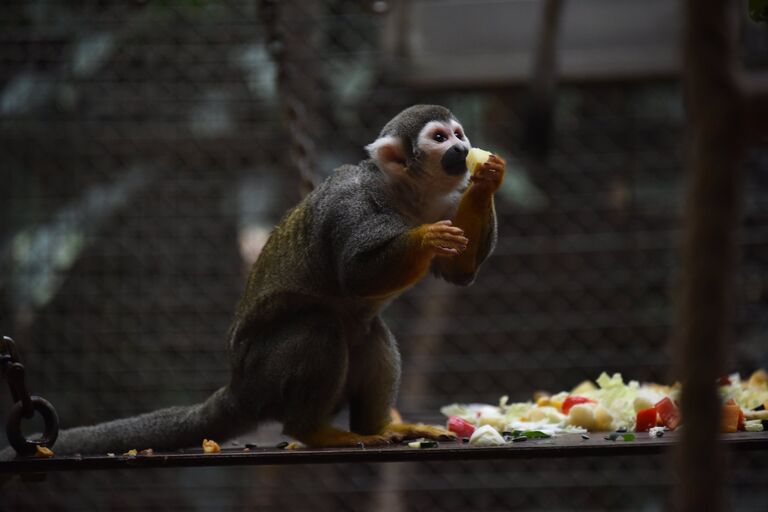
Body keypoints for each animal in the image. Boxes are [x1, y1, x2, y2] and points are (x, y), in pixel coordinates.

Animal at [3, 105, 508, 456]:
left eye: (460, 135)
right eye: (440, 138)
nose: (462, 150)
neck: (407, 194)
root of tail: (238, 386)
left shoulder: (442, 203)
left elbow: (458, 273)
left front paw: (487, 178)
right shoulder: (352, 205)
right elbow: (355, 273)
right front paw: (426, 236)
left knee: (365, 330)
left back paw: (376, 427)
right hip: (266, 372)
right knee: (318, 327)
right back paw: (313, 431)